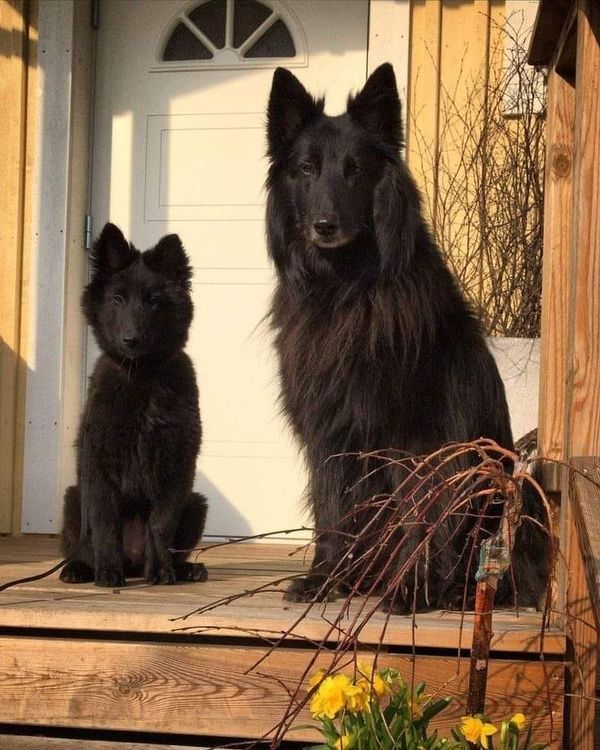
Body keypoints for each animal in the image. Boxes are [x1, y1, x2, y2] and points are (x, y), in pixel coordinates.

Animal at [60, 226, 207, 592]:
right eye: (117, 300)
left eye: (154, 301)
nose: (131, 340)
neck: (141, 378)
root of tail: (134, 560)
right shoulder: (99, 465)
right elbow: (105, 525)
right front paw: (108, 573)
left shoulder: (177, 466)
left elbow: (161, 524)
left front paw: (163, 573)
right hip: (73, 499)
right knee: (83, 547)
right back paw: (80, 569)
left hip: (196, 503)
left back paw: (184, 569)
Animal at [264, 61, 548, 608]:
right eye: (307, 169)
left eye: (355, 170)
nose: (324, 225)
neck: (347, 289)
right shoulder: (329, 433)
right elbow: (332, 510)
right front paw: (326, 579)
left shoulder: (418, 439)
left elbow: (421, 512)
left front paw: (411, 589)